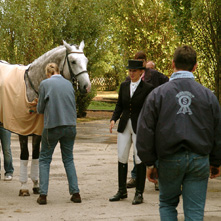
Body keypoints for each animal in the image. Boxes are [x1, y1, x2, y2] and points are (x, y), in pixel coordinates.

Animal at [0, 40, 91, 196]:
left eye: (86, 60)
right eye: (73, 61)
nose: (87, 86)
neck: (31, 86)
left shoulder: (37, 132)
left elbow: (36, 155)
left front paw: (36, 184)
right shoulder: (22, 131)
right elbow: (25, 155)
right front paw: (24, 187)